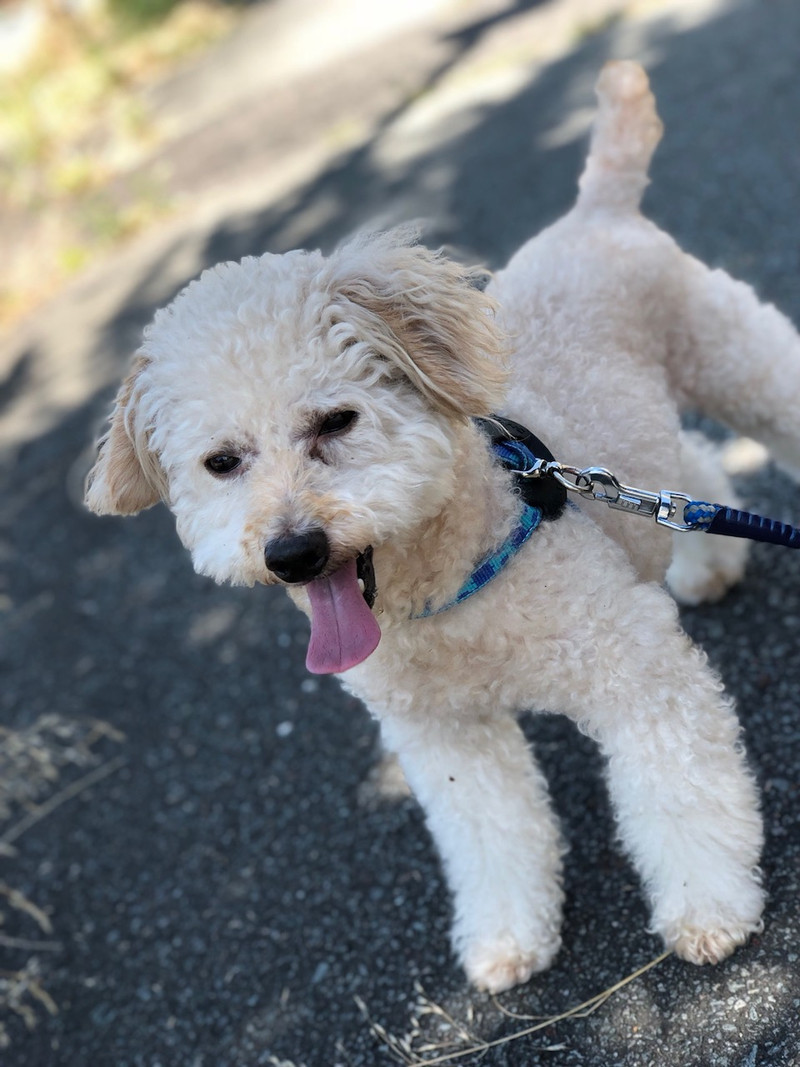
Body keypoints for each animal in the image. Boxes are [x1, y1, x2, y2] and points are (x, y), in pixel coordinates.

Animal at [85, 61, 800, 993]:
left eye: (336, 421)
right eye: (221, 462)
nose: (293, 552)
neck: (443, 590)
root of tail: (595, 211)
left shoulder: (635, 671)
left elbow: (681, 790)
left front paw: (707, 907)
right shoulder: (443, 735)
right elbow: (492, 832)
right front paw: (506, 938)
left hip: (737, 360)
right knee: (677, 469)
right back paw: (703, 563)